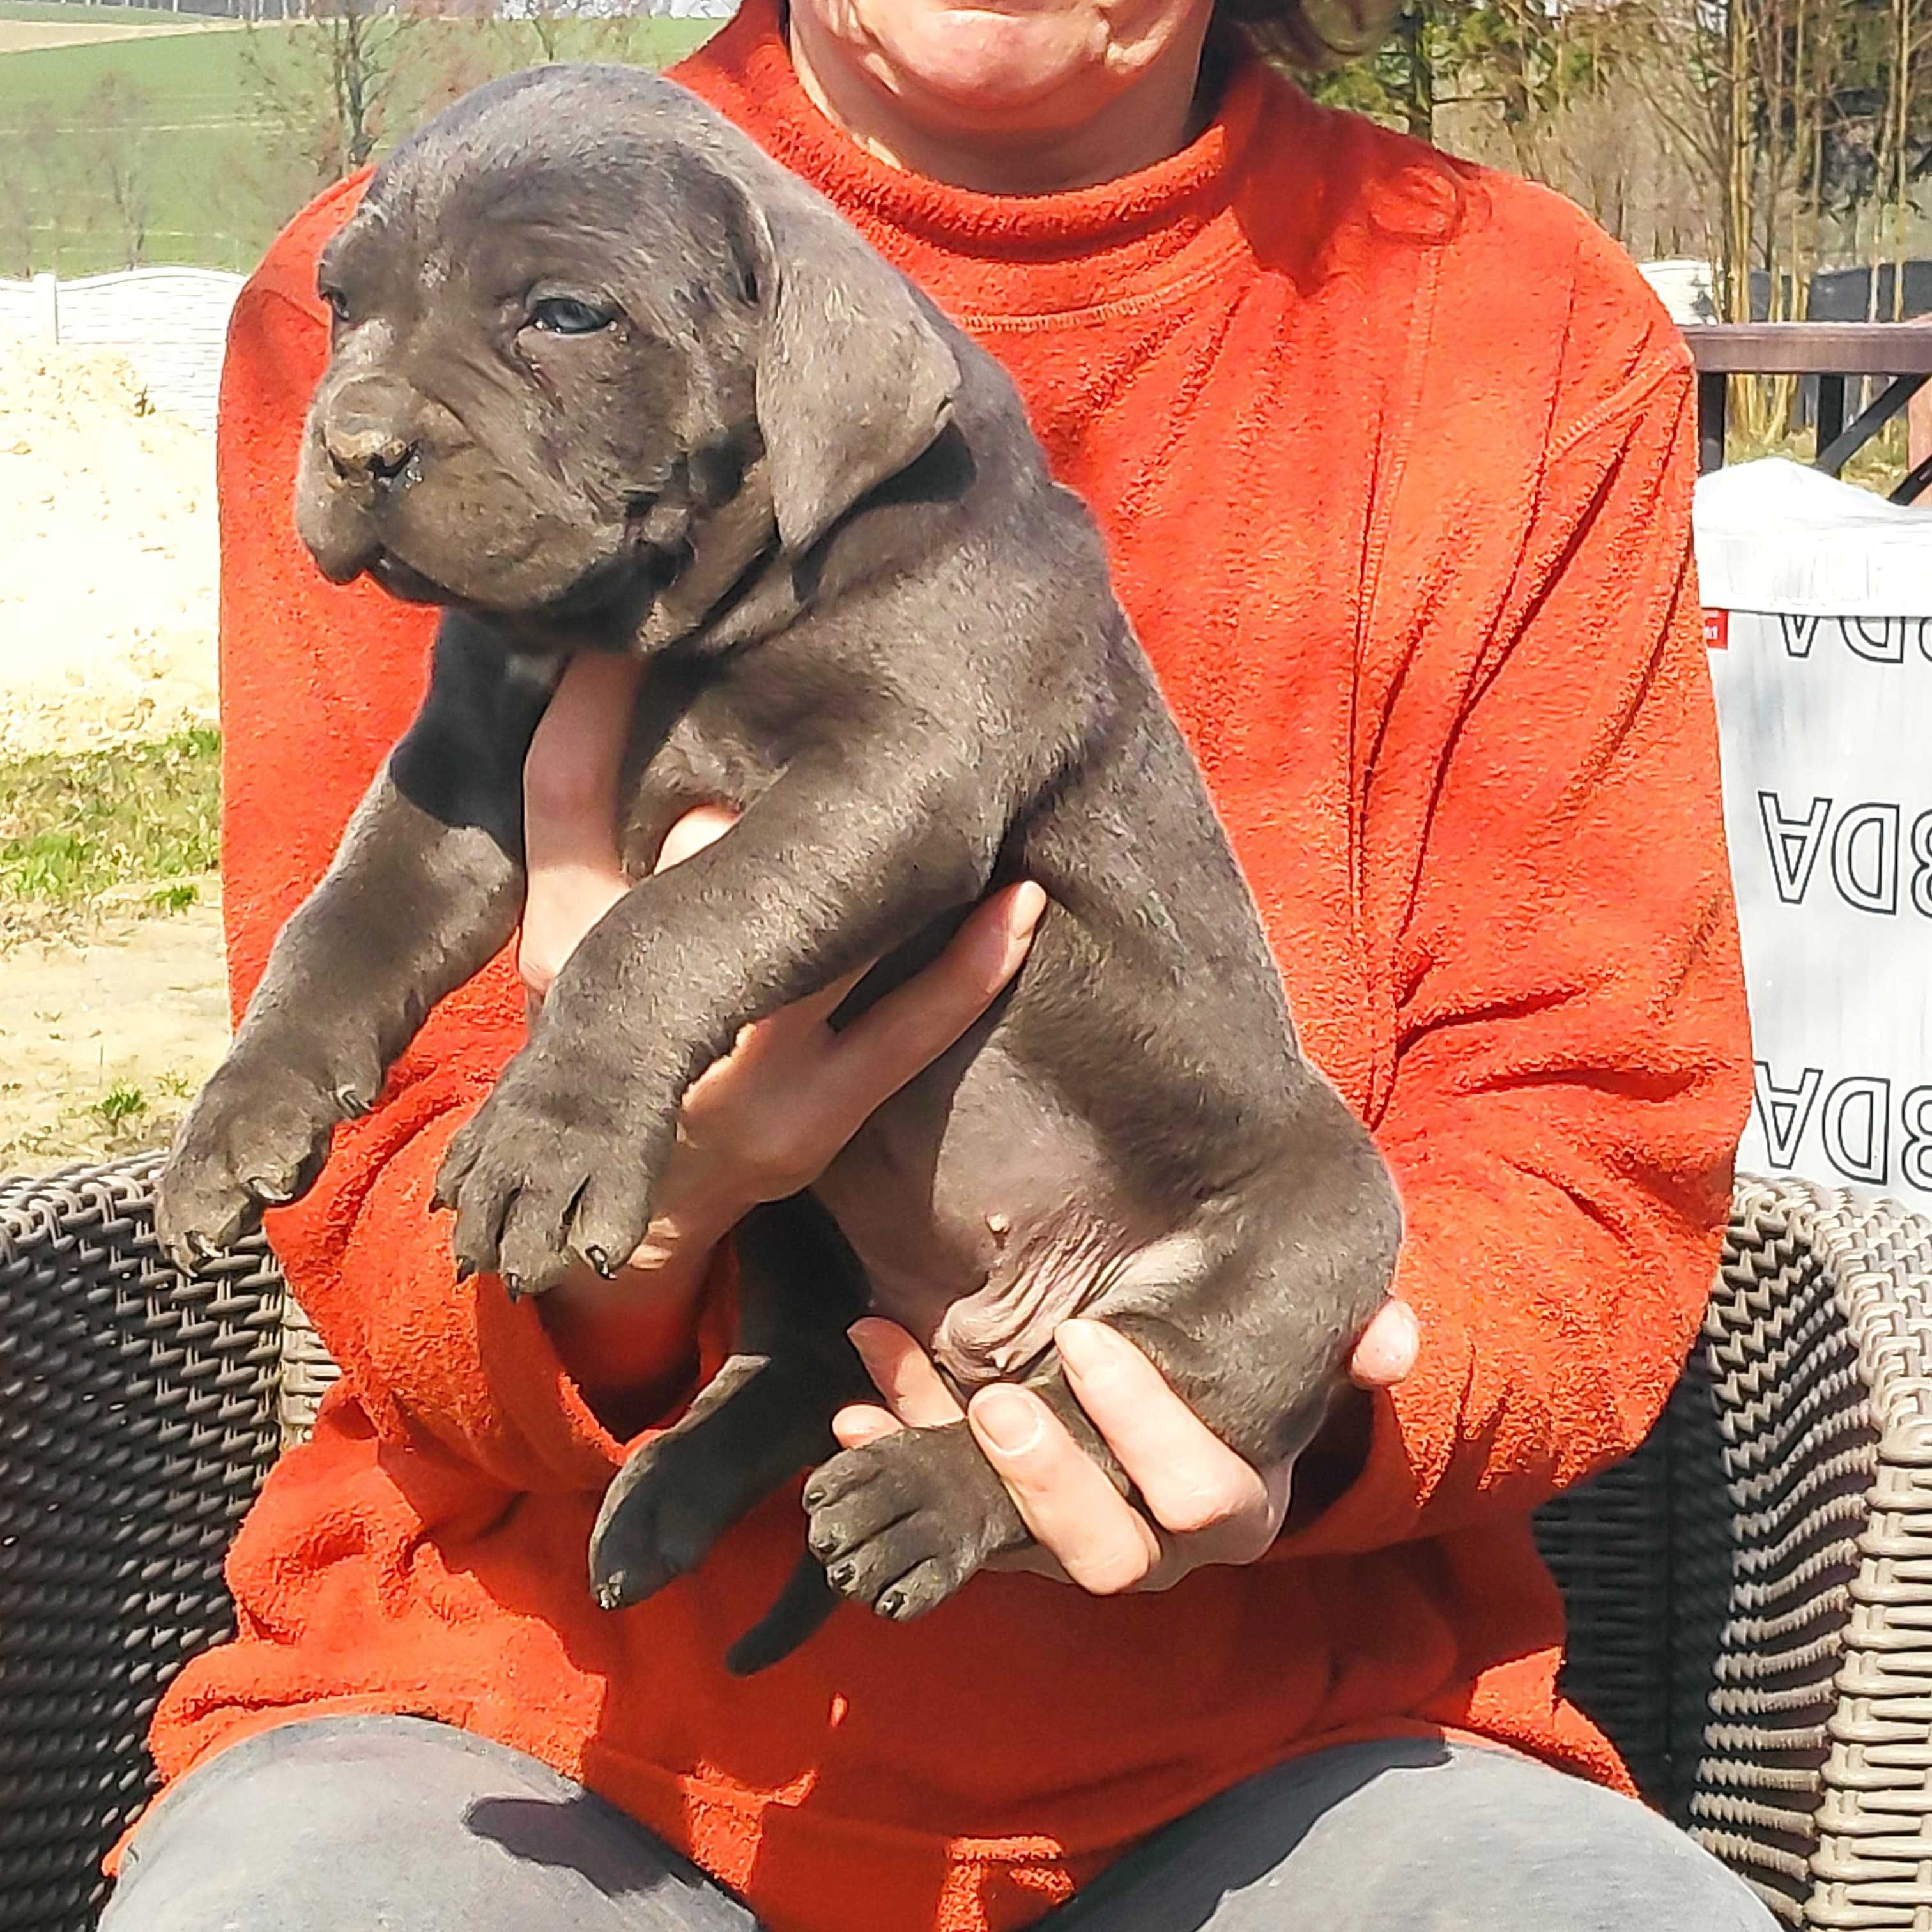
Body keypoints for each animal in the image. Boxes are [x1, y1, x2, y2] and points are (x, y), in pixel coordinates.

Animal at [158, 68, 1399, 1676]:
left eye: (567, 315)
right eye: (342, 305)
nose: (355, 444)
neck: (661, 621)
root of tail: (982, 1328)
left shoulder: (902, 770)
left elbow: (665, 924)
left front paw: (546, 1136)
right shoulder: (461, 770)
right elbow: (341, 919)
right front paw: (237, 1118)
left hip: (1303, 1239)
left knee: (1089, 1416)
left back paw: (922, 1495)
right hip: (800, 1225)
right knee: (805, 1360)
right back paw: (663, 1495)